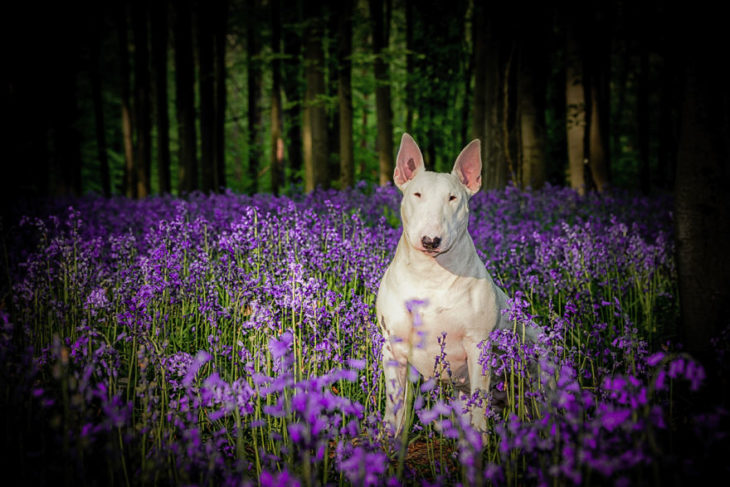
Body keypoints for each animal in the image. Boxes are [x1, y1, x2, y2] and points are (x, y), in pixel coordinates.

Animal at [376, 133, 512, 434]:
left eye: (452, 198)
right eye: (417, 195)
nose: (430, 240)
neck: (431, 275)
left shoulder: (479, 345)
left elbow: (480, 403)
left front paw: (480, 440)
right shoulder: (393, 346)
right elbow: (395, 405)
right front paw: (389, 436)